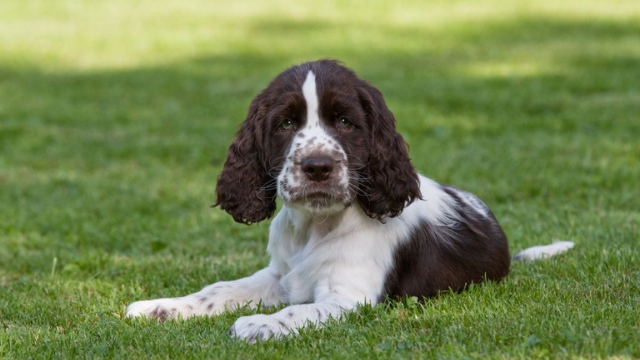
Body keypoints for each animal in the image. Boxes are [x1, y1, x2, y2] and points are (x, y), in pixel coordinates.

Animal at [126, 59, 576, 344]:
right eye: (285, 124)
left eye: (345, 122)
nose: (317, 166)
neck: (315, 227)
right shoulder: (281, 275)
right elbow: (218, 289)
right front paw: (160, 307)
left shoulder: (348, 297)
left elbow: (298, 312)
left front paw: (256, 325)